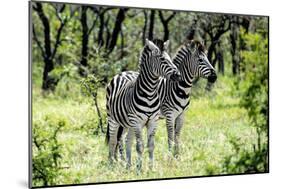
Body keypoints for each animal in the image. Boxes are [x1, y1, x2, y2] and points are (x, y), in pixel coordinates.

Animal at [104, 38, 179, 170]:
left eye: (170, 58)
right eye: (162, 59)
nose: (178, 75)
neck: (150, 93)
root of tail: (121, 73)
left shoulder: (153, 122)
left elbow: (151, 145)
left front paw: (150, 168)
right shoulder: (137, 122)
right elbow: (139, 146)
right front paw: (139, 169)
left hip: (128, 124)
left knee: (127, 140)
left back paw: (128, 165)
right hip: (113, 119)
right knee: (113, 141)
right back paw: (111, 164)